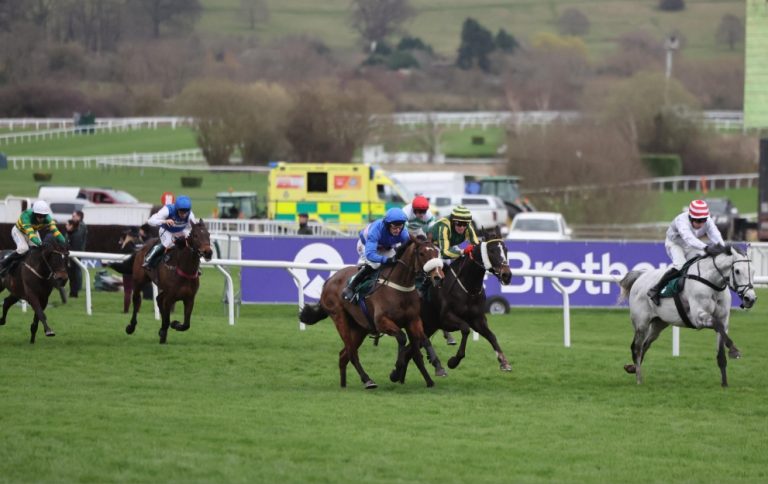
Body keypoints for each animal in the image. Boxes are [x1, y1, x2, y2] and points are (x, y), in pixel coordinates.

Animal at [298, 234, 444, 390]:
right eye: (422, 253)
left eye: (437, 252)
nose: (438, 276)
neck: (399, 287)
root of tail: (329, 280)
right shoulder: (381, 322)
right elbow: (401, 337)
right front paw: (396, 372)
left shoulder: (413, 320)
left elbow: (423, 341)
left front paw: (436, 368)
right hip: (339, 317)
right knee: (351, 352)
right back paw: (367, 380)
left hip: (359, 328)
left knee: (343, 355)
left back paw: (343, 385)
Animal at [412, 230, 512, 378]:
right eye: (491, 250)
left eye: (505, 249)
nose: (507, 275)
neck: (468, 289)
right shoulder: (446, 318)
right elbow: (465, 329)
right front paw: (454, 361)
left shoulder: (477, 319)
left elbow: (491, 336)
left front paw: (504, 362)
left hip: (428, 325)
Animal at [616, 244, 756, 388]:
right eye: (737, 271)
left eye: (754, 271)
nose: (750, 299)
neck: (711, 282)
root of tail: (641, 275)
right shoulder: (698, 317)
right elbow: (716, 324)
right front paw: (734, 350)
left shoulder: (724, 320)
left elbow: (721, 350)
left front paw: (724, 383)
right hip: (641, 323)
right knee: (636, 348)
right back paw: (639, 379)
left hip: (659, 324)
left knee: (646, 344)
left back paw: (632, 368)